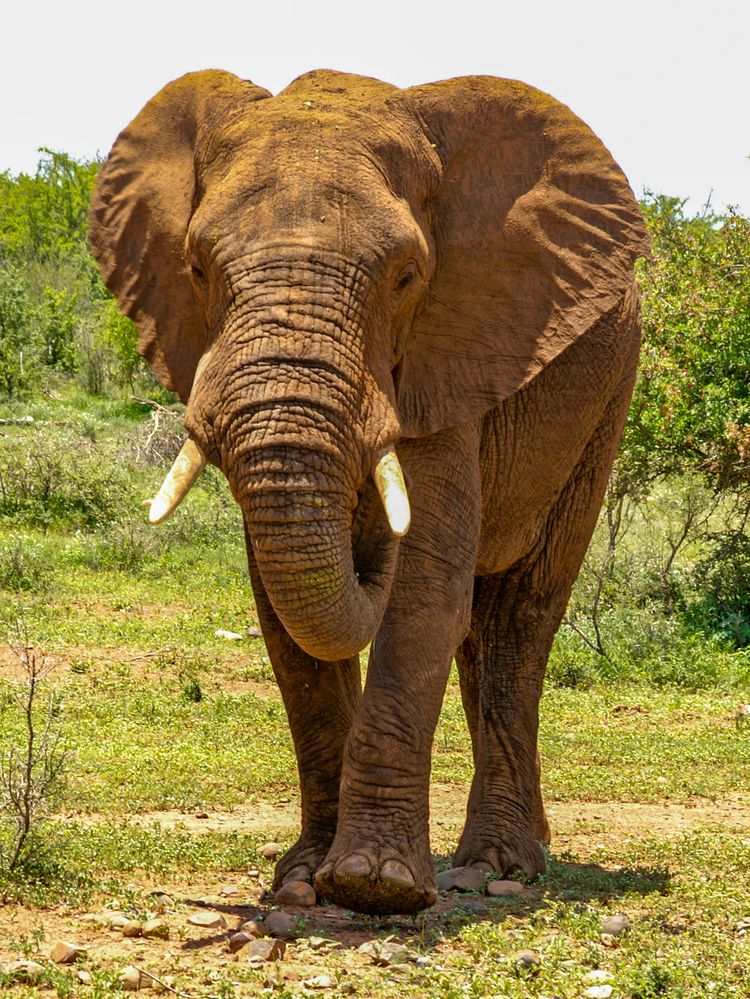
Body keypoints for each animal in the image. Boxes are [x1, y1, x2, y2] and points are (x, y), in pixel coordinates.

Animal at [89, 68, 652, 916]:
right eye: (197, 269)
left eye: (406, 276)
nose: (365, 549)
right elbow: (283, 611)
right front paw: (300, 884)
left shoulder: (451, 352)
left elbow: (422, 585)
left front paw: (373, 884)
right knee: (476, 627)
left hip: (607, 396)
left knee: (518, 612)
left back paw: (495, 868)